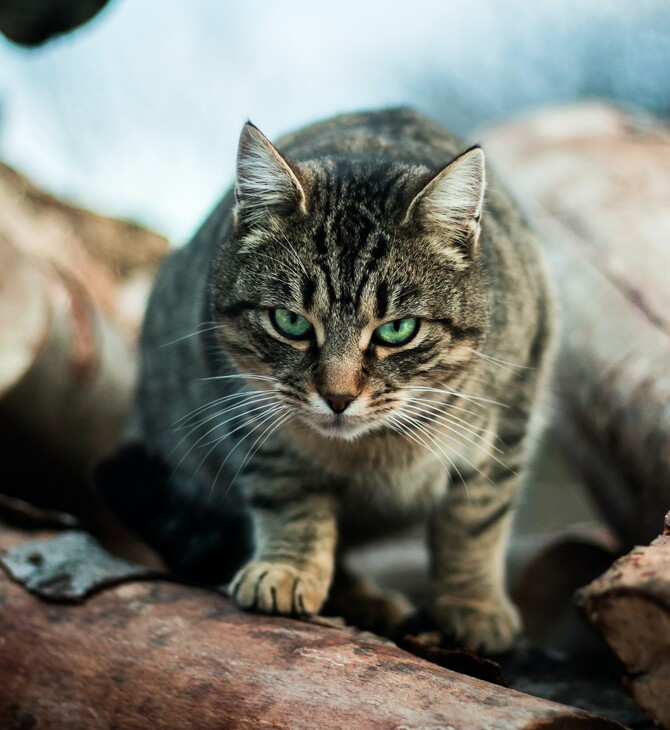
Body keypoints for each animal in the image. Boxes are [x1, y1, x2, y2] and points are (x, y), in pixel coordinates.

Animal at [97, 109, 552, 656]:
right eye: (290, 322)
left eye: (397, 330)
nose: (337, 397)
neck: (372, 452)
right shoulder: (248, 412)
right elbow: (290, 497)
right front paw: (289, 569)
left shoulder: (512, 410)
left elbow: (475, 517)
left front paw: (472, 602)